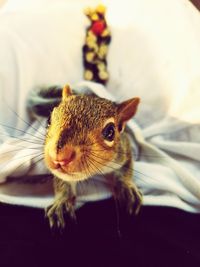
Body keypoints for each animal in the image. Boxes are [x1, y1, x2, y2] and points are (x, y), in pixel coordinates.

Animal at [44, 85, 143, 228]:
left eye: (110, 132)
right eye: (49, 120)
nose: (60, 157)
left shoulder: (124, 151)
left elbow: (126, 170)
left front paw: (127, 188)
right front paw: (61, 203)